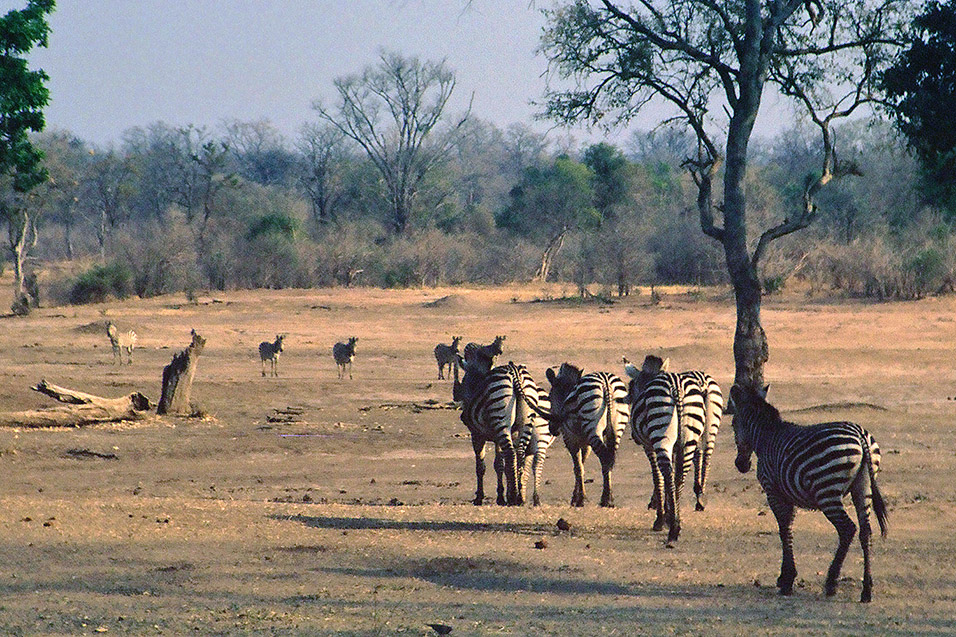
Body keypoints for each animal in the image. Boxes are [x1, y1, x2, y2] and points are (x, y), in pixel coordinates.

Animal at [454, 352, 540, 506]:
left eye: (464, 382)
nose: (463, 417)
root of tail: (515, 372)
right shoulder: (498, 438)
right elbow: (500, 465)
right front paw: (501, 496)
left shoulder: (476, 435)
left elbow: (481, 466)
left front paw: (480, 497)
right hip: (526, 421)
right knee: (519, 453)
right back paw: (519, 497)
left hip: (500, 415)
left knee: (511, 453)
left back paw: (514, 496)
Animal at [540, 362, 632, 506]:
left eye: (549, 398)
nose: (553, 429)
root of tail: (606, 382)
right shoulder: (585, 443)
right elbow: (581, 465)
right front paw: (577, 496)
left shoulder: (570, 438)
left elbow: (578, 467)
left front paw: (579, 499)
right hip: (617, 427)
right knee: (609, 459)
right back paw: (609, 498)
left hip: (593, 426)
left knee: (604, 458)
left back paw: (606, 499)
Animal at [628, 356, 708, 544]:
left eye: (632, 388)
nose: (634, 437)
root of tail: (676, 387)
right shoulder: (675, 448)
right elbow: (667, 478)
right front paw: (669, 514)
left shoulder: (649, 446)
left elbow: (658, 478)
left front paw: (660, 519)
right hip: (688, 440)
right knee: (678, 476)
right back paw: (676, 522)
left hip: (660, 433)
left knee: (668, 473)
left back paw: (673, 528)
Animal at [732, 382, 888, 600]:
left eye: (733, 424)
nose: (741, 465)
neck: (766, 436)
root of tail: (860, 435)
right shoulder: (787, 495)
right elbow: (788, 528)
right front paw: (785, 576)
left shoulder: (773, 492)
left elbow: (784, 530)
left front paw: (787, 579)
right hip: (863, 487)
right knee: (866, 531)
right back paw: (866, 590)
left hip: (827, 492)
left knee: (847, 529)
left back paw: (831, 583)